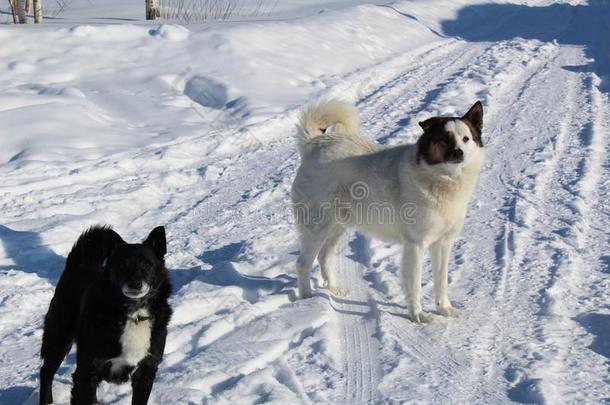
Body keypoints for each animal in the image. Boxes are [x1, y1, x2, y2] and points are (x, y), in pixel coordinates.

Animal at [38, 224, 171, 404]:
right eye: (122, 265)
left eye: (147, 264)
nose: (135, 284)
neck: (132, 315)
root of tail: (77, 266)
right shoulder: (86, 373)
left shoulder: (146, 372)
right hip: (59, 339)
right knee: (46, 372)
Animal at [290, 99, 484, 324]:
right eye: (445, 139)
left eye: (466, 139)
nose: (459, 152)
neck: (441, 178)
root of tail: (314, 143)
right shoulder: (416, 245)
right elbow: (415, 285)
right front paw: (417, 315)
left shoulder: (443, 244)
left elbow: (441, 281)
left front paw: (444, 309)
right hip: (317, 227)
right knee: (302, 263)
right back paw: (307, 299)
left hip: (338, 226)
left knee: (324, 256)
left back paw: (334, 289)